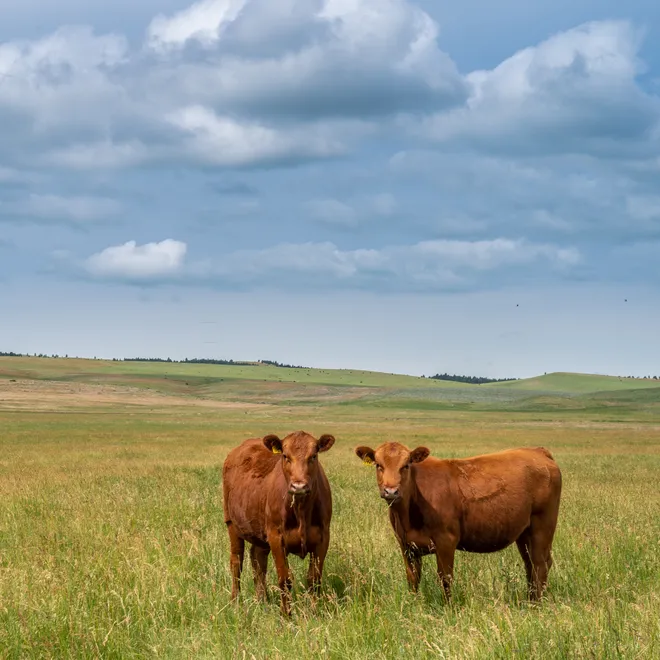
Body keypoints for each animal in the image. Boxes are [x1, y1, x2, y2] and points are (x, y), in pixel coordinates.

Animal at [223, 431, 335, 615]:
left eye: (313, 456)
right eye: (285, 456)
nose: (299, 486)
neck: (301, 510)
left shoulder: (323, 537)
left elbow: (314, 578)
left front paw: (314, 612)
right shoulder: (276, 537)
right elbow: (285, 579)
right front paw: (286, 615)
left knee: (258, 559)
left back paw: (262, 600)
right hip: (231, 523)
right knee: (236, 562)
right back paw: (235, 602)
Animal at [355, 442, 562, 601]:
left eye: (406, 465)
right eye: (378, 465)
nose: (391, 491)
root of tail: (537, 451)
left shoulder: (446, 541)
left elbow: (445, 578)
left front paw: (449, 608)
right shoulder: (406, 545)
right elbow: (412, 578)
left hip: (542, 527)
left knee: (540, 564)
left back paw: (536, 604)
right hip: (524, 533)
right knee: (530, 564)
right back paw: (529, 600)